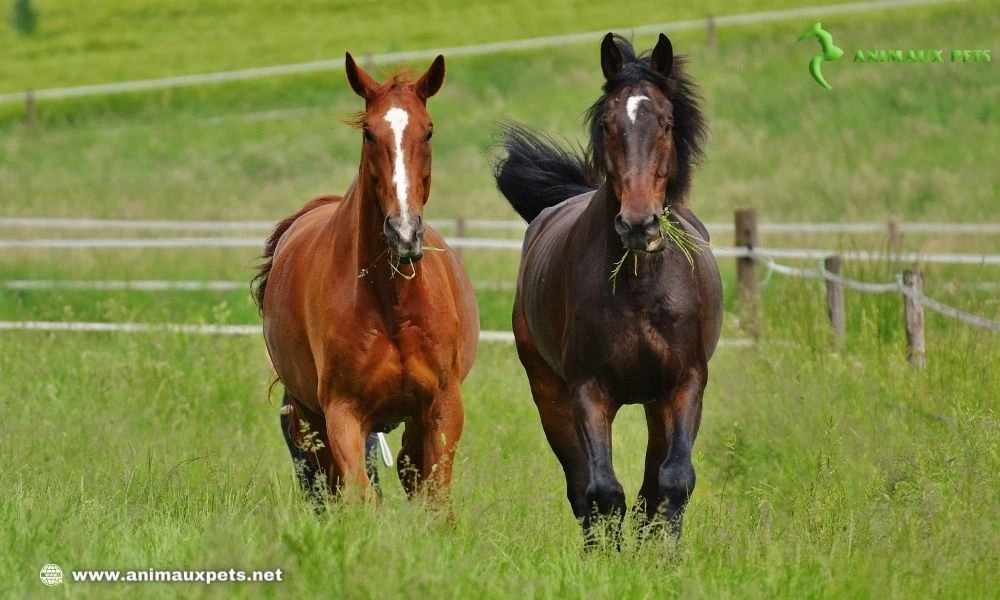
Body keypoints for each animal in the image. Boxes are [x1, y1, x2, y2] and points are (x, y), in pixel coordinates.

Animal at [254, 52, 480, 502]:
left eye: (428, 131)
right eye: (369, 134)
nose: (404, 233)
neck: (392, 304)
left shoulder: (442, 408)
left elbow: (434, 498)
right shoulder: (343, 413)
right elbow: (361, 495)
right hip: (310, 418)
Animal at [490, 34, 720, 540]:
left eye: (667, 123)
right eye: (608, 124)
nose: (638, 225)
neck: (640, 290)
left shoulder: (685, 383)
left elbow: (673, 482)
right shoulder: (587, 391)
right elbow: (602, 491)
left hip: (655, 403)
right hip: (549, 394)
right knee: (582, 489)